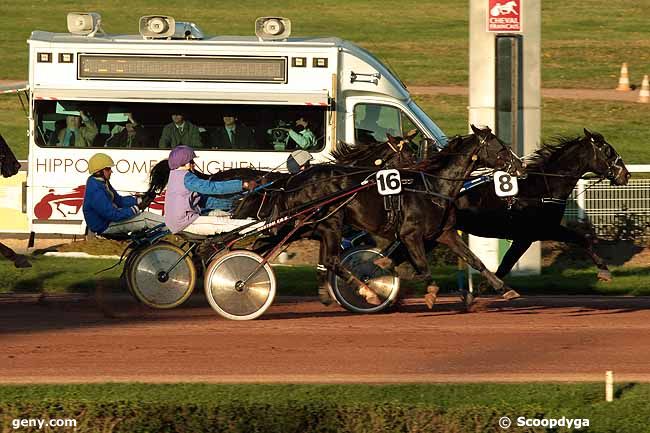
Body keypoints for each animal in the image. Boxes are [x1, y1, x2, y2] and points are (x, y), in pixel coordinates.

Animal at [234, 125, 528, 304]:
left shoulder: (444, 234)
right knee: (331, 260)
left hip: (306, 225)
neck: (434, 187)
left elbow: (475, 260)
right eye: (501, 147)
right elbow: (419, 266)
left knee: (269, 244)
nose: (520, 167)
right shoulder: (410, 235)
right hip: (330, 223)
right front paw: (426, 291)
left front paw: (504, 289)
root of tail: (293, 181)